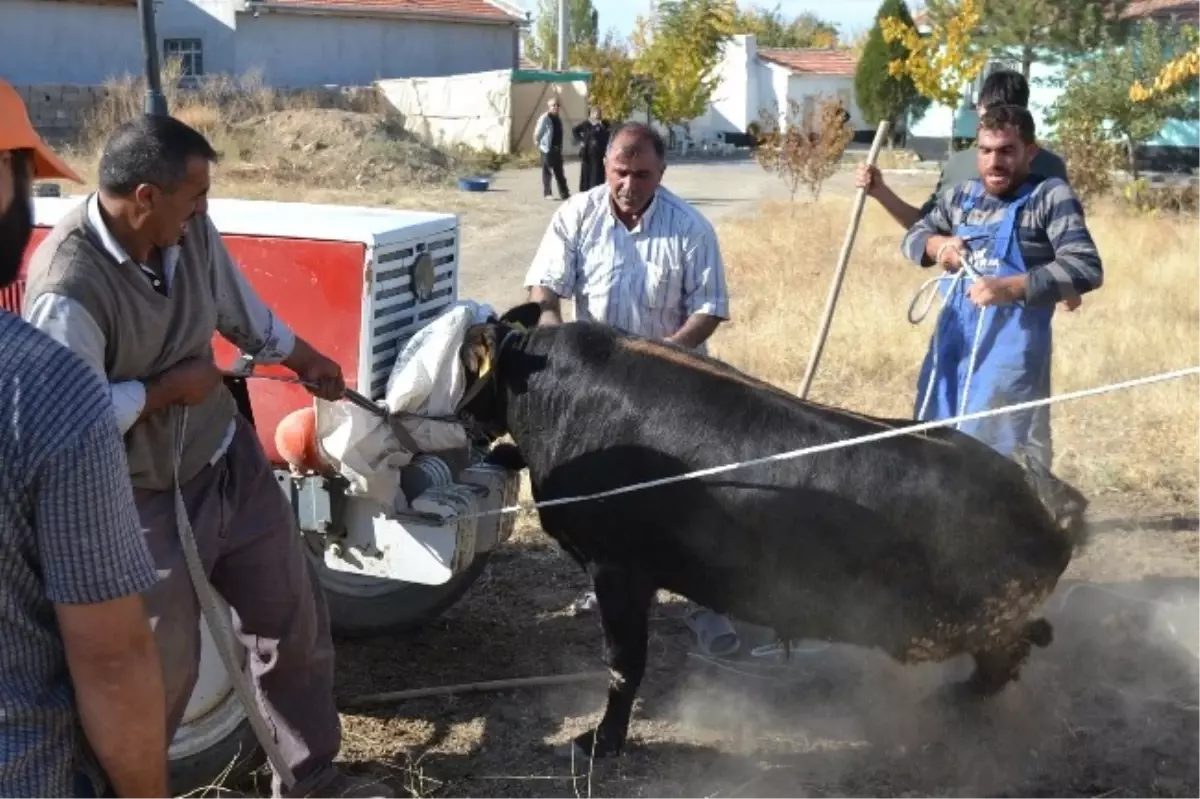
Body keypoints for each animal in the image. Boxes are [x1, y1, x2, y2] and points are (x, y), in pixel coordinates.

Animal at [453, 299, 1094, 758]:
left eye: (463, 365)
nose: (459, 417)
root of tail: (1046, 500)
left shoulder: (619, 569)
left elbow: (623, 663)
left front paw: (598, 743)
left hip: (965, 621)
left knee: (1010, 653)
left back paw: (952, 700)